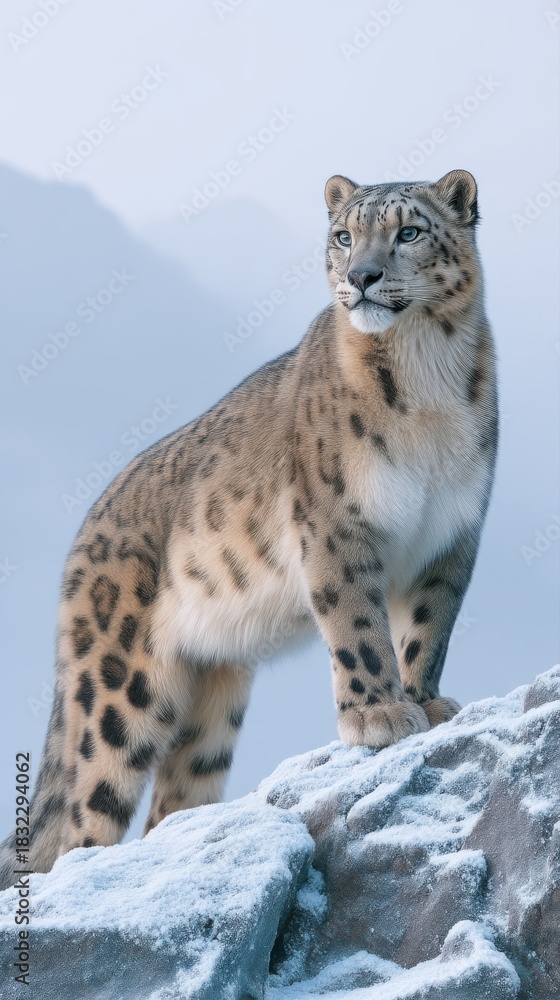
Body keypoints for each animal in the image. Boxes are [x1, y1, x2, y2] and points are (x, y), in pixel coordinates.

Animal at [0, 169, 498, 887]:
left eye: (408, 231)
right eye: (343, 236)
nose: (363, 275)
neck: (426, 376)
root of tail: (82, 540)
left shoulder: (451, 538)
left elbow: (427, 631)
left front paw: (425, 702)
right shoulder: (337, 525)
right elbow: (360, 626)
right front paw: (379, 715)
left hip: (212, 711)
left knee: (172, 801)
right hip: (119, 693)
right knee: (83, 822)